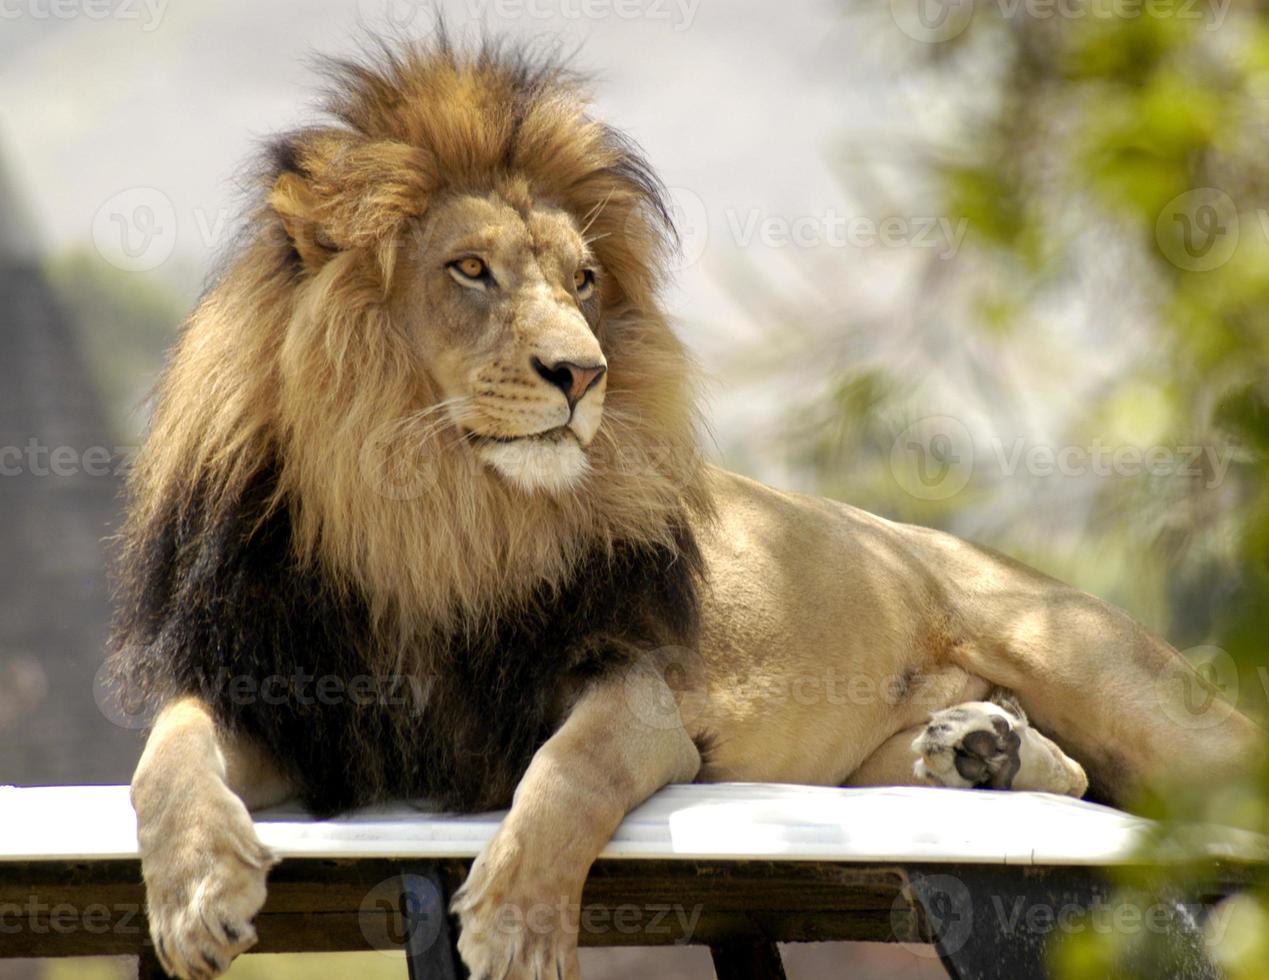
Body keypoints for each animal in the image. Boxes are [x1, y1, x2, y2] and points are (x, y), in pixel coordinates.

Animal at [114, 34, 1263, 974]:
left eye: (582, 279)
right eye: (470, 268)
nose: (582, 373)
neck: (436, 516)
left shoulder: (634, 690)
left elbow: (570, 771)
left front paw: (518, 924)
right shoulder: (285, 693)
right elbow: (163, 755)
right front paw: (196, 893)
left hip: (1106, 674)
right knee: (1070, 784)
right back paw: (983, 749)